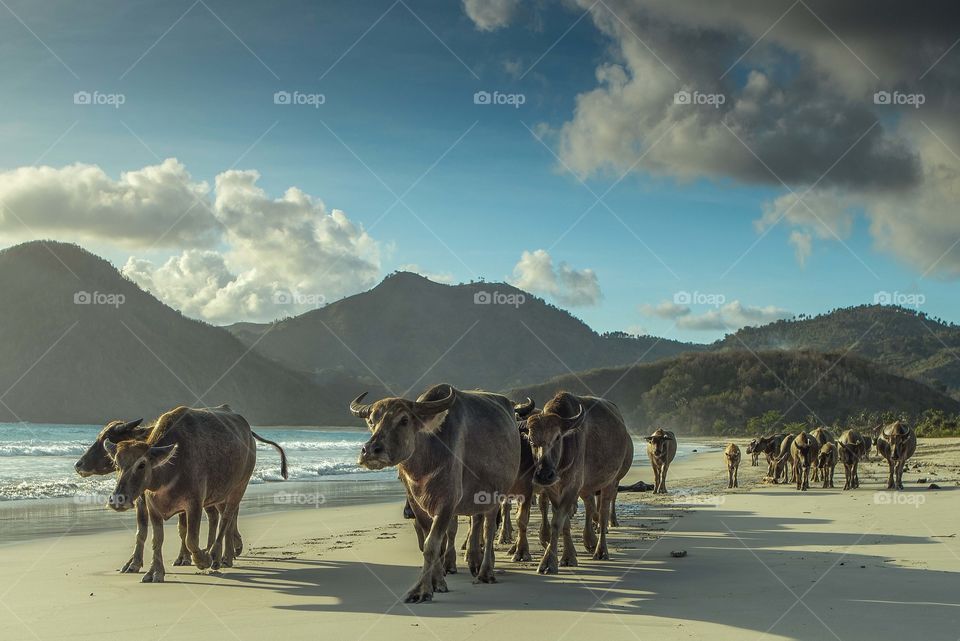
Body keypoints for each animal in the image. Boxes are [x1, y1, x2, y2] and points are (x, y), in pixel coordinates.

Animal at [104, 408, 286, 584]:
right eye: (116, 464)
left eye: (141, 464)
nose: (117, 499)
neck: (169, 471)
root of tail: (247, 431)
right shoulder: (152, 507)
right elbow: (157, 539)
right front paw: (154, 572)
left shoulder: (194, 504)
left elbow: (191, 540)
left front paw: (202, 560)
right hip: (220, 494)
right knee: (225, 518)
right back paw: (226, 555)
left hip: (239, 488)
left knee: (226, 519)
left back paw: (216, 555)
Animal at [352, 382, 520, 604]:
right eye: (372, 421)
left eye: (404, 420)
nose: (370, 450)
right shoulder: (416, 504)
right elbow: (430, 543)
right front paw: (437, 582)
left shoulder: (447, 503)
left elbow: (432, 544)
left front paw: (422, 590)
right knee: (477, 523)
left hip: (496, 496)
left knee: (489, 529)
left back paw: (485, 572)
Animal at [520, 392, 632, 572]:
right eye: (531, 440)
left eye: (557, 437)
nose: (544, 475)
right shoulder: (553, 489)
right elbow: (564, 523)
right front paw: (568, 555)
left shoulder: (572, 486)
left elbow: (557, 522)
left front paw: (549, 562)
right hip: (586, 487)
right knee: (589, 506)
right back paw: (590, 541)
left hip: (610, 481)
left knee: (602, 513)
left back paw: (601, 550)